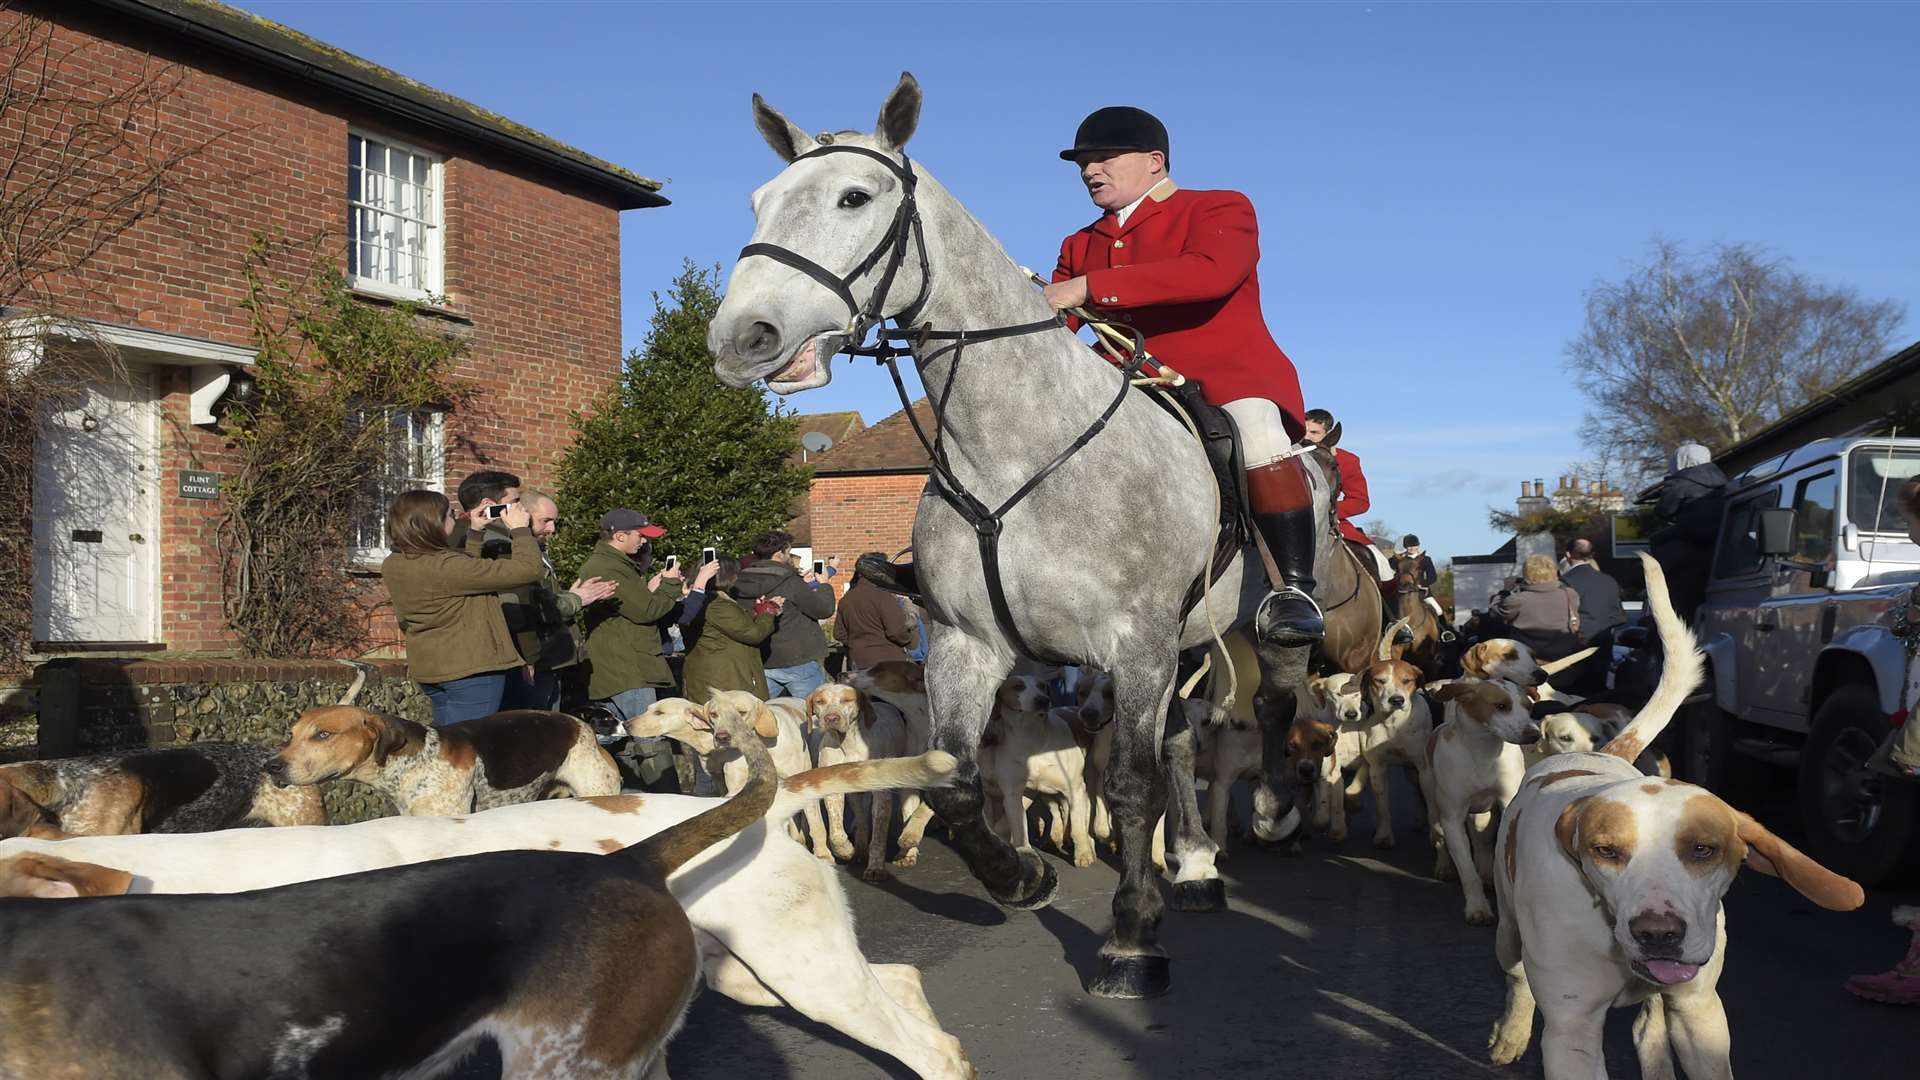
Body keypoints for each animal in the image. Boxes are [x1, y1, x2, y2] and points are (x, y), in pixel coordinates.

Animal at [710, 73, 1336, 999]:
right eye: (758, 200)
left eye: (855, 197)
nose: (739, 339)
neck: (1012, 446)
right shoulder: (968, 644)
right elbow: (953, 782)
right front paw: (1021, 877)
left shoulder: (1134, 644)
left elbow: (1128, 785)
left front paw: (1129, 938)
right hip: (1184, 642)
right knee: (1183, 742)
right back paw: (1194, 867)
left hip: (1253, 621)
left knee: (1273, 700)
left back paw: (1270, 808)